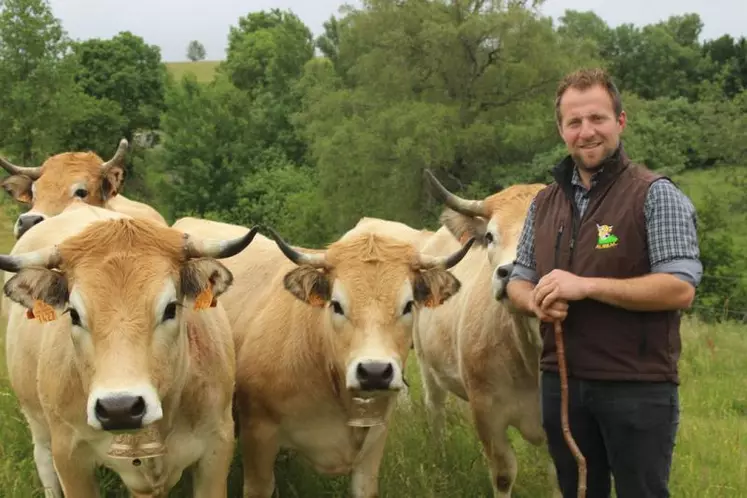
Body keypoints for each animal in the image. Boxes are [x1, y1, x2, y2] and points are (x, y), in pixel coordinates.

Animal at [0, 204, 258, 496]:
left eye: (171, 308)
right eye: (74, 314)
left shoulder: (217, 447)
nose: (119, 408)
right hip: (37, 424)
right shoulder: (69, 455)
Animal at [414, 171, 560, 498]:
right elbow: (504, 473)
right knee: (435, 410)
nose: (510, 272)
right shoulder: (487, 413)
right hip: (426, 364)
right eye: (491, 236)